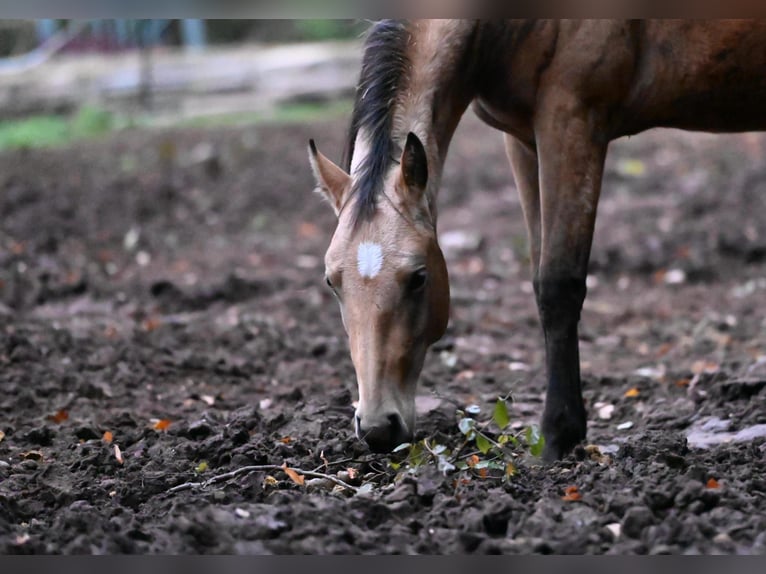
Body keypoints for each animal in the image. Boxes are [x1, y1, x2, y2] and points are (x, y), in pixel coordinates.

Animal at [308, 19, 766, 460]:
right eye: (332, 281)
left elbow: (558, 285)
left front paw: (556, 438)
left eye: (418, 278)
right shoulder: (522, 140)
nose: (378, 428)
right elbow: (538, 277)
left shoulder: (572, 122)